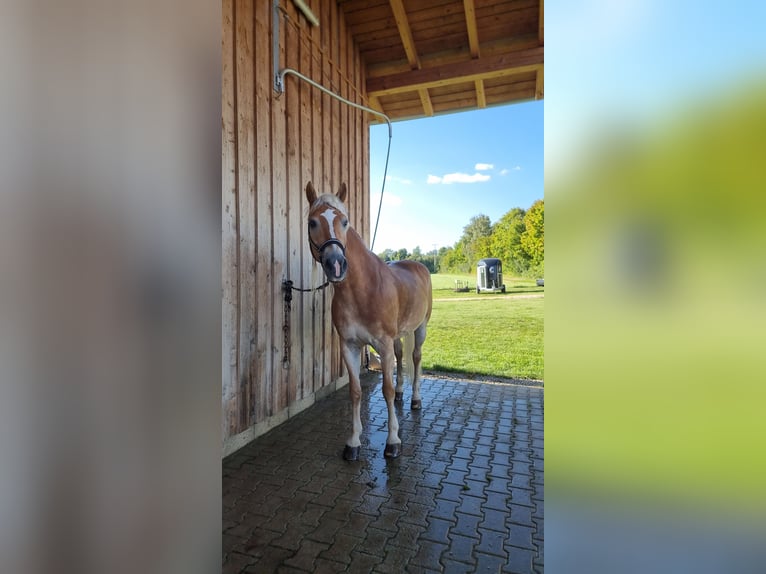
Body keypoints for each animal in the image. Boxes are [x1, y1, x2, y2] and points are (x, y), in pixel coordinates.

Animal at [305, 181, 433, 460]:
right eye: (312, 222)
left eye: (345, 221)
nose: (336, 264)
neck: (361, 290)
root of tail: (419, 266)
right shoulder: (349, 346)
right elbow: (355, 391)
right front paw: (353, 442)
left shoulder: (382, 345)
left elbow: (385, 389)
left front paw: (393, 441)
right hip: (397, 337)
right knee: (400, 358)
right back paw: (402, 394)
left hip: (421, 328)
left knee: (416, 358)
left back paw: (415, 399)